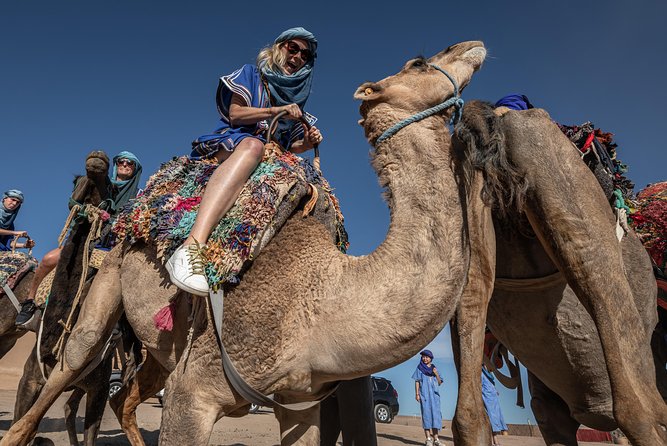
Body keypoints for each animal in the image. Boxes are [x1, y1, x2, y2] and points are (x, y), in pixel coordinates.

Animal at [1, 40, 490, 444]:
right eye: (418, 62)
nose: (472, 45)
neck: (322, 300)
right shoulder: (194, 391)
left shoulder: (299, 406)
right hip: (108, 284)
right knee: (67, 368)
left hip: (159, 348)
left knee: (126, 397)